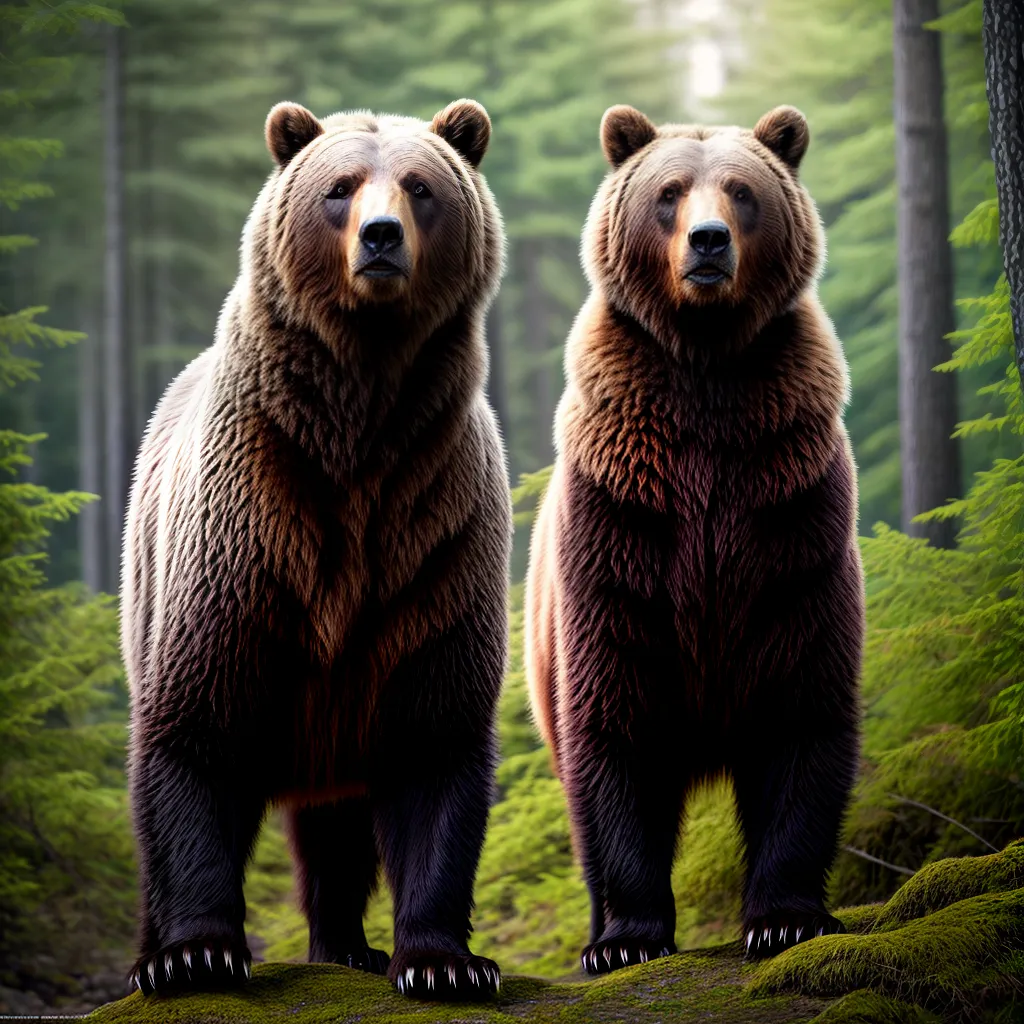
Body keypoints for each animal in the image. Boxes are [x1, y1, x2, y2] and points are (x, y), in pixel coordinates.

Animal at [121, 98, 511, 1001]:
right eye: (339, 187)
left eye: (420, 185)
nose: (380, 236)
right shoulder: (246, 537)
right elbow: (194, 732)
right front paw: (198, 953)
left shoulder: (432, 545)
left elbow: (435, 741)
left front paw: (443, 962)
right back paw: (151, 955)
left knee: (336, 830)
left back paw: (345, 946)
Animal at [524, 104, 864, 973]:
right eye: (669, 191)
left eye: (741, 192)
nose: (709, 242)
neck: (706, 365)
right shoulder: (623, 524)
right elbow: (614, 727)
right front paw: (628, 939)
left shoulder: (789, 509)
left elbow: (801, 711)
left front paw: (786, 918)